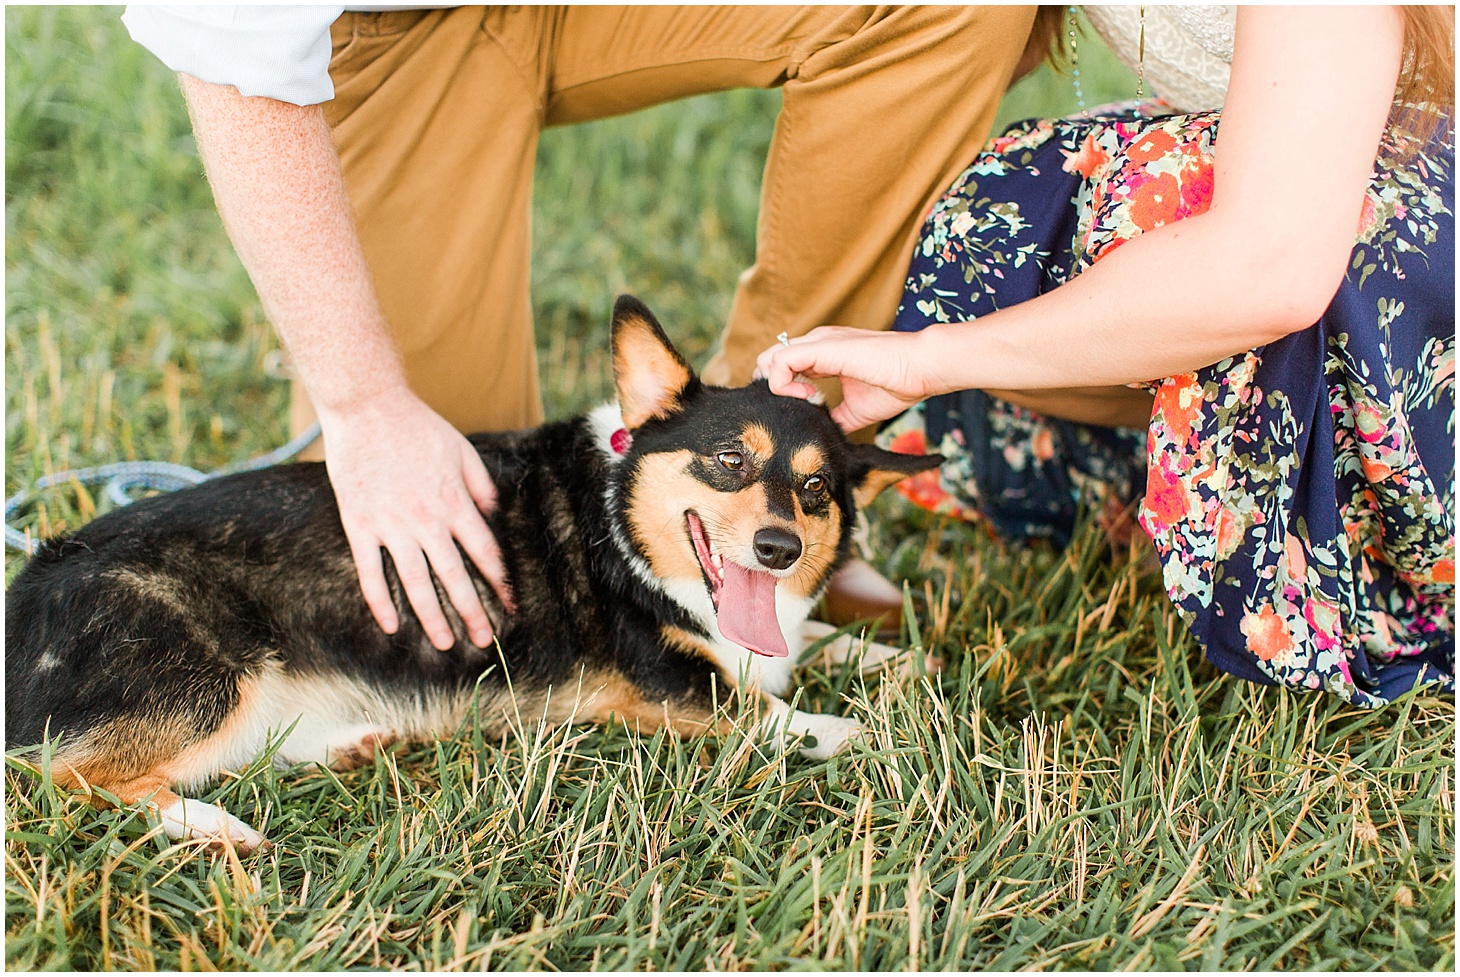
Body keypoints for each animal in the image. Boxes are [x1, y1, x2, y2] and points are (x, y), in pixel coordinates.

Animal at [5, 294, 940, 847]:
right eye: (728, 461)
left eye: (816, 488)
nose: (780, 548)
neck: (621, 520)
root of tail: (24, 588)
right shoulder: (666, 684)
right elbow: (771, 713)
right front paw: (864, 729)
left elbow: (819, 642)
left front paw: (899, 659)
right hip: (206, 676)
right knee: (72, 774)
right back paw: (211, 824)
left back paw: (351, 742)